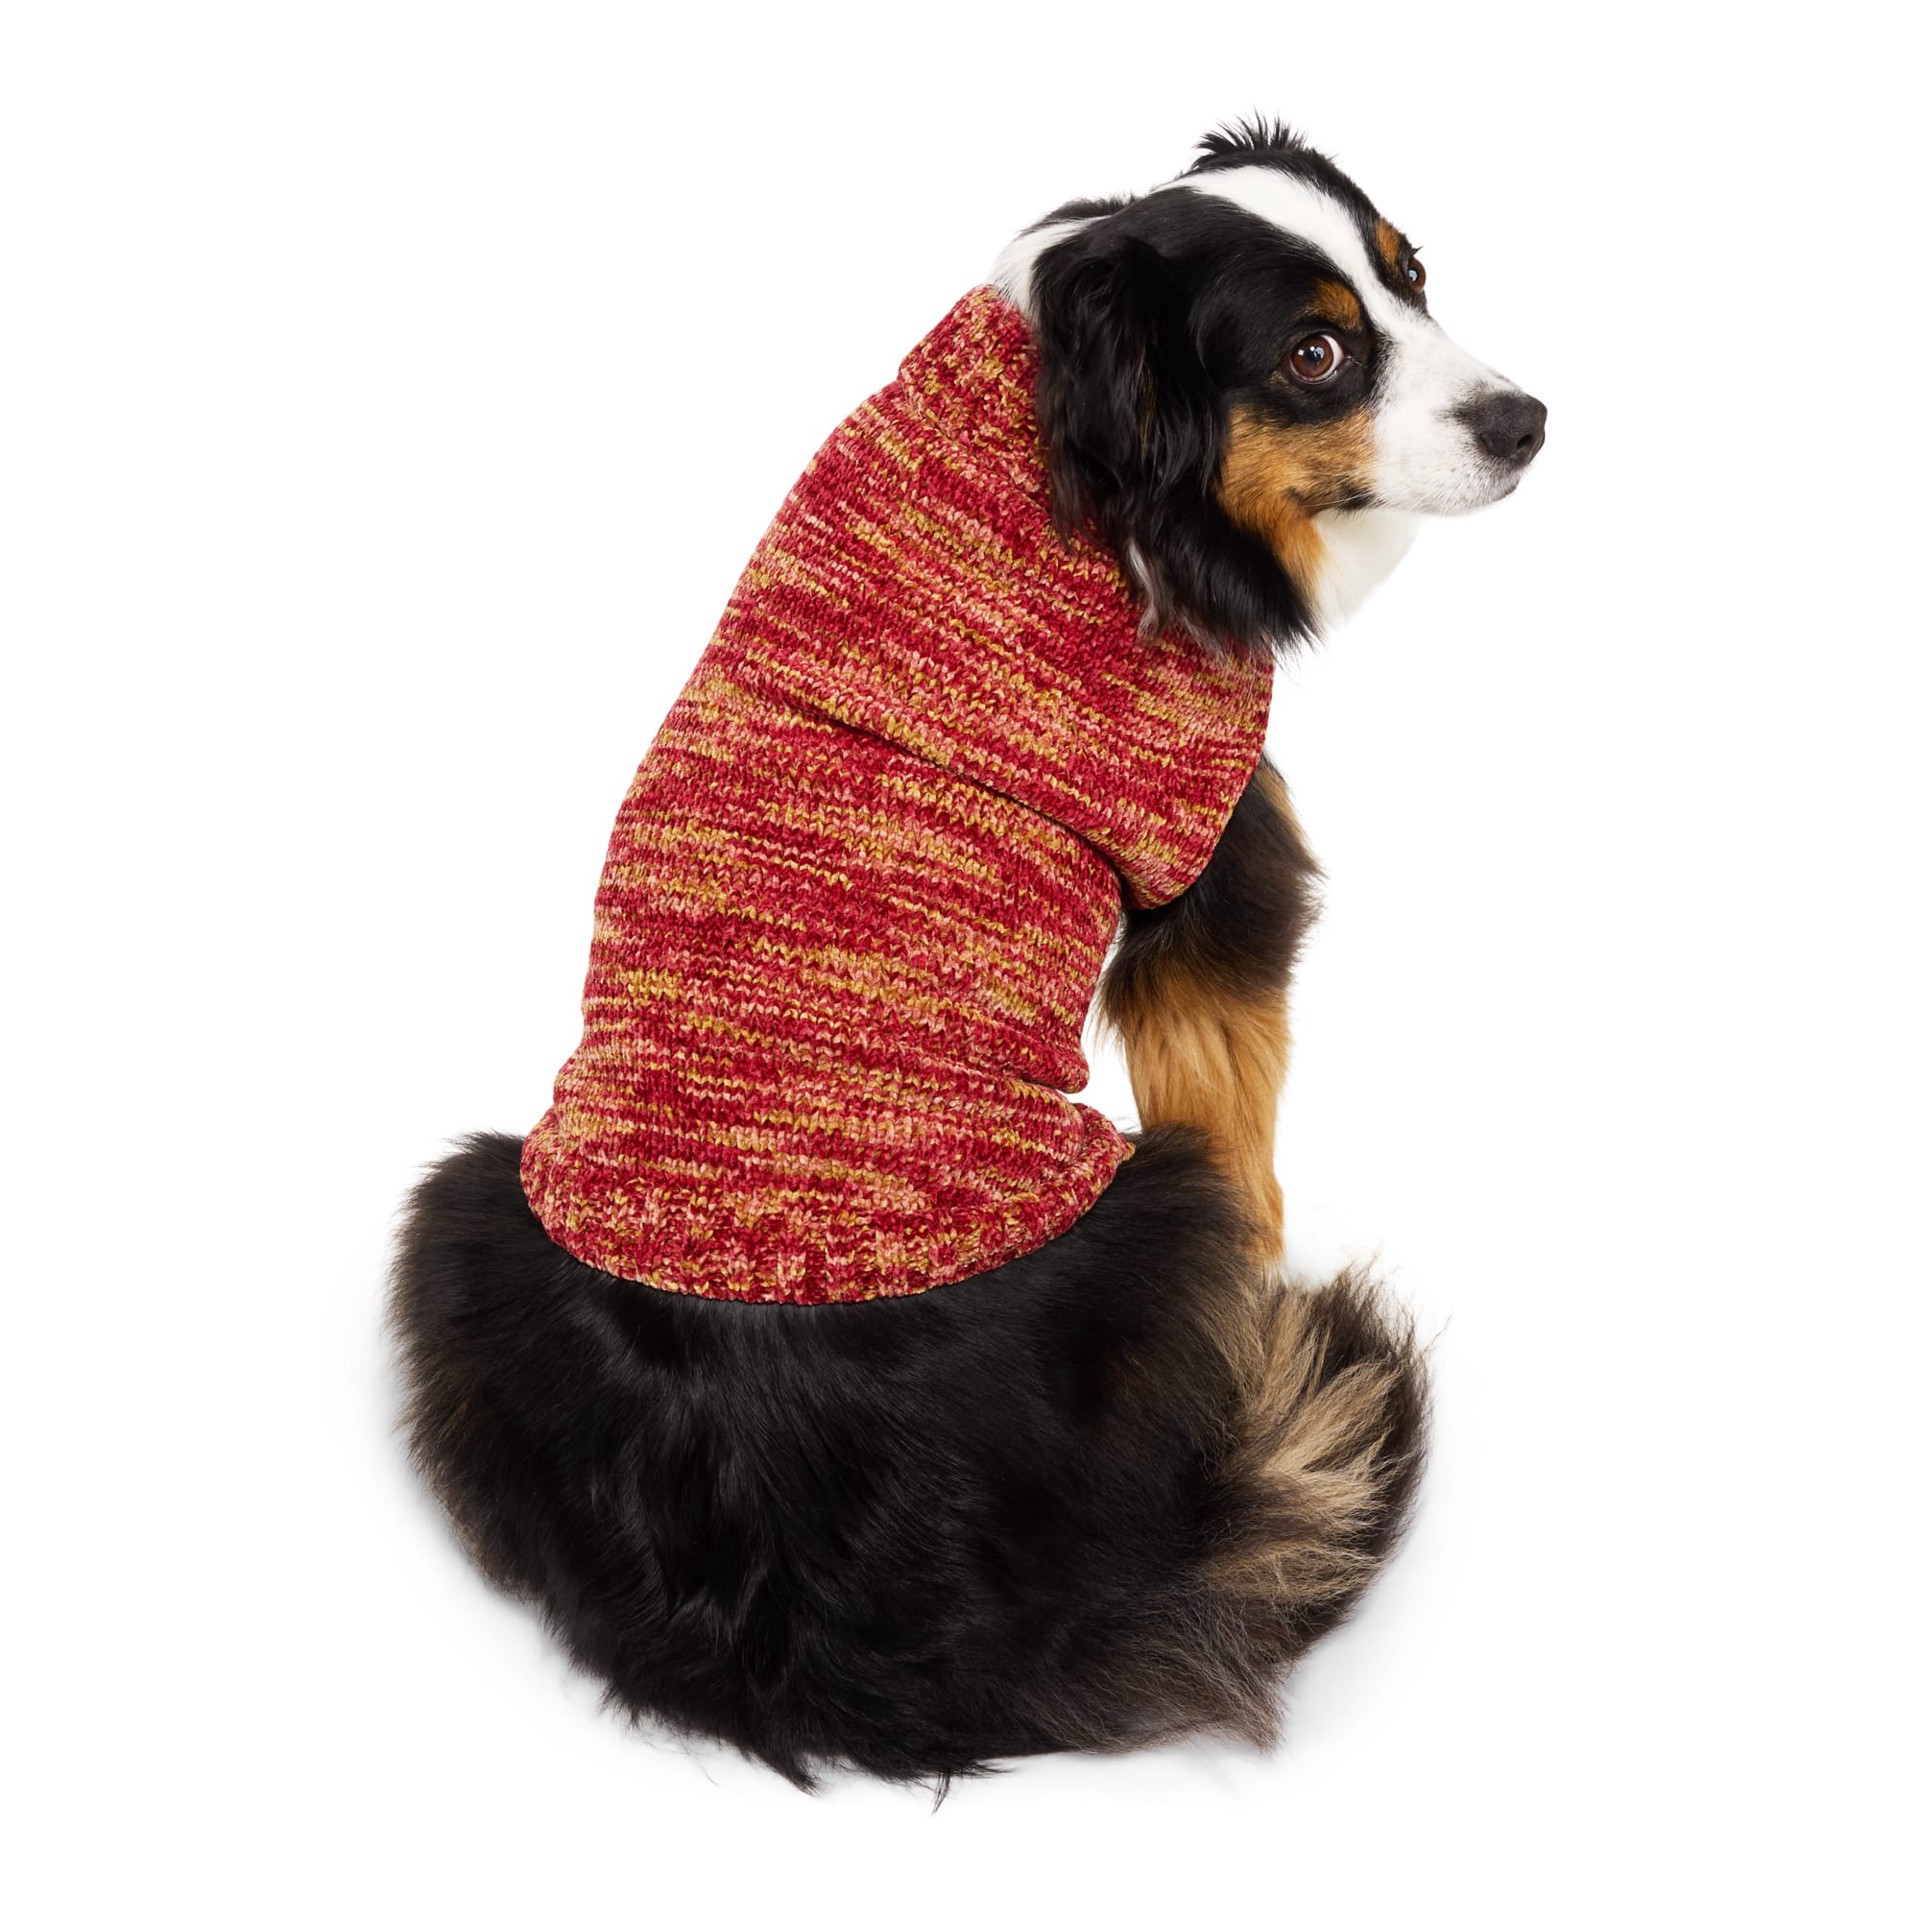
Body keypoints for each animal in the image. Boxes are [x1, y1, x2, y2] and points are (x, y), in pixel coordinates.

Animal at [391, 117, 1545, 1787]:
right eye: (1317, 353)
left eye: (1416, 276)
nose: (1529, 421)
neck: (1087, 452)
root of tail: (816, 1619)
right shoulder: (1208, 859)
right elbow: (1244, 1110)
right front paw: (1275, 1280)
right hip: (1148, 1208)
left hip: (467, 1219)